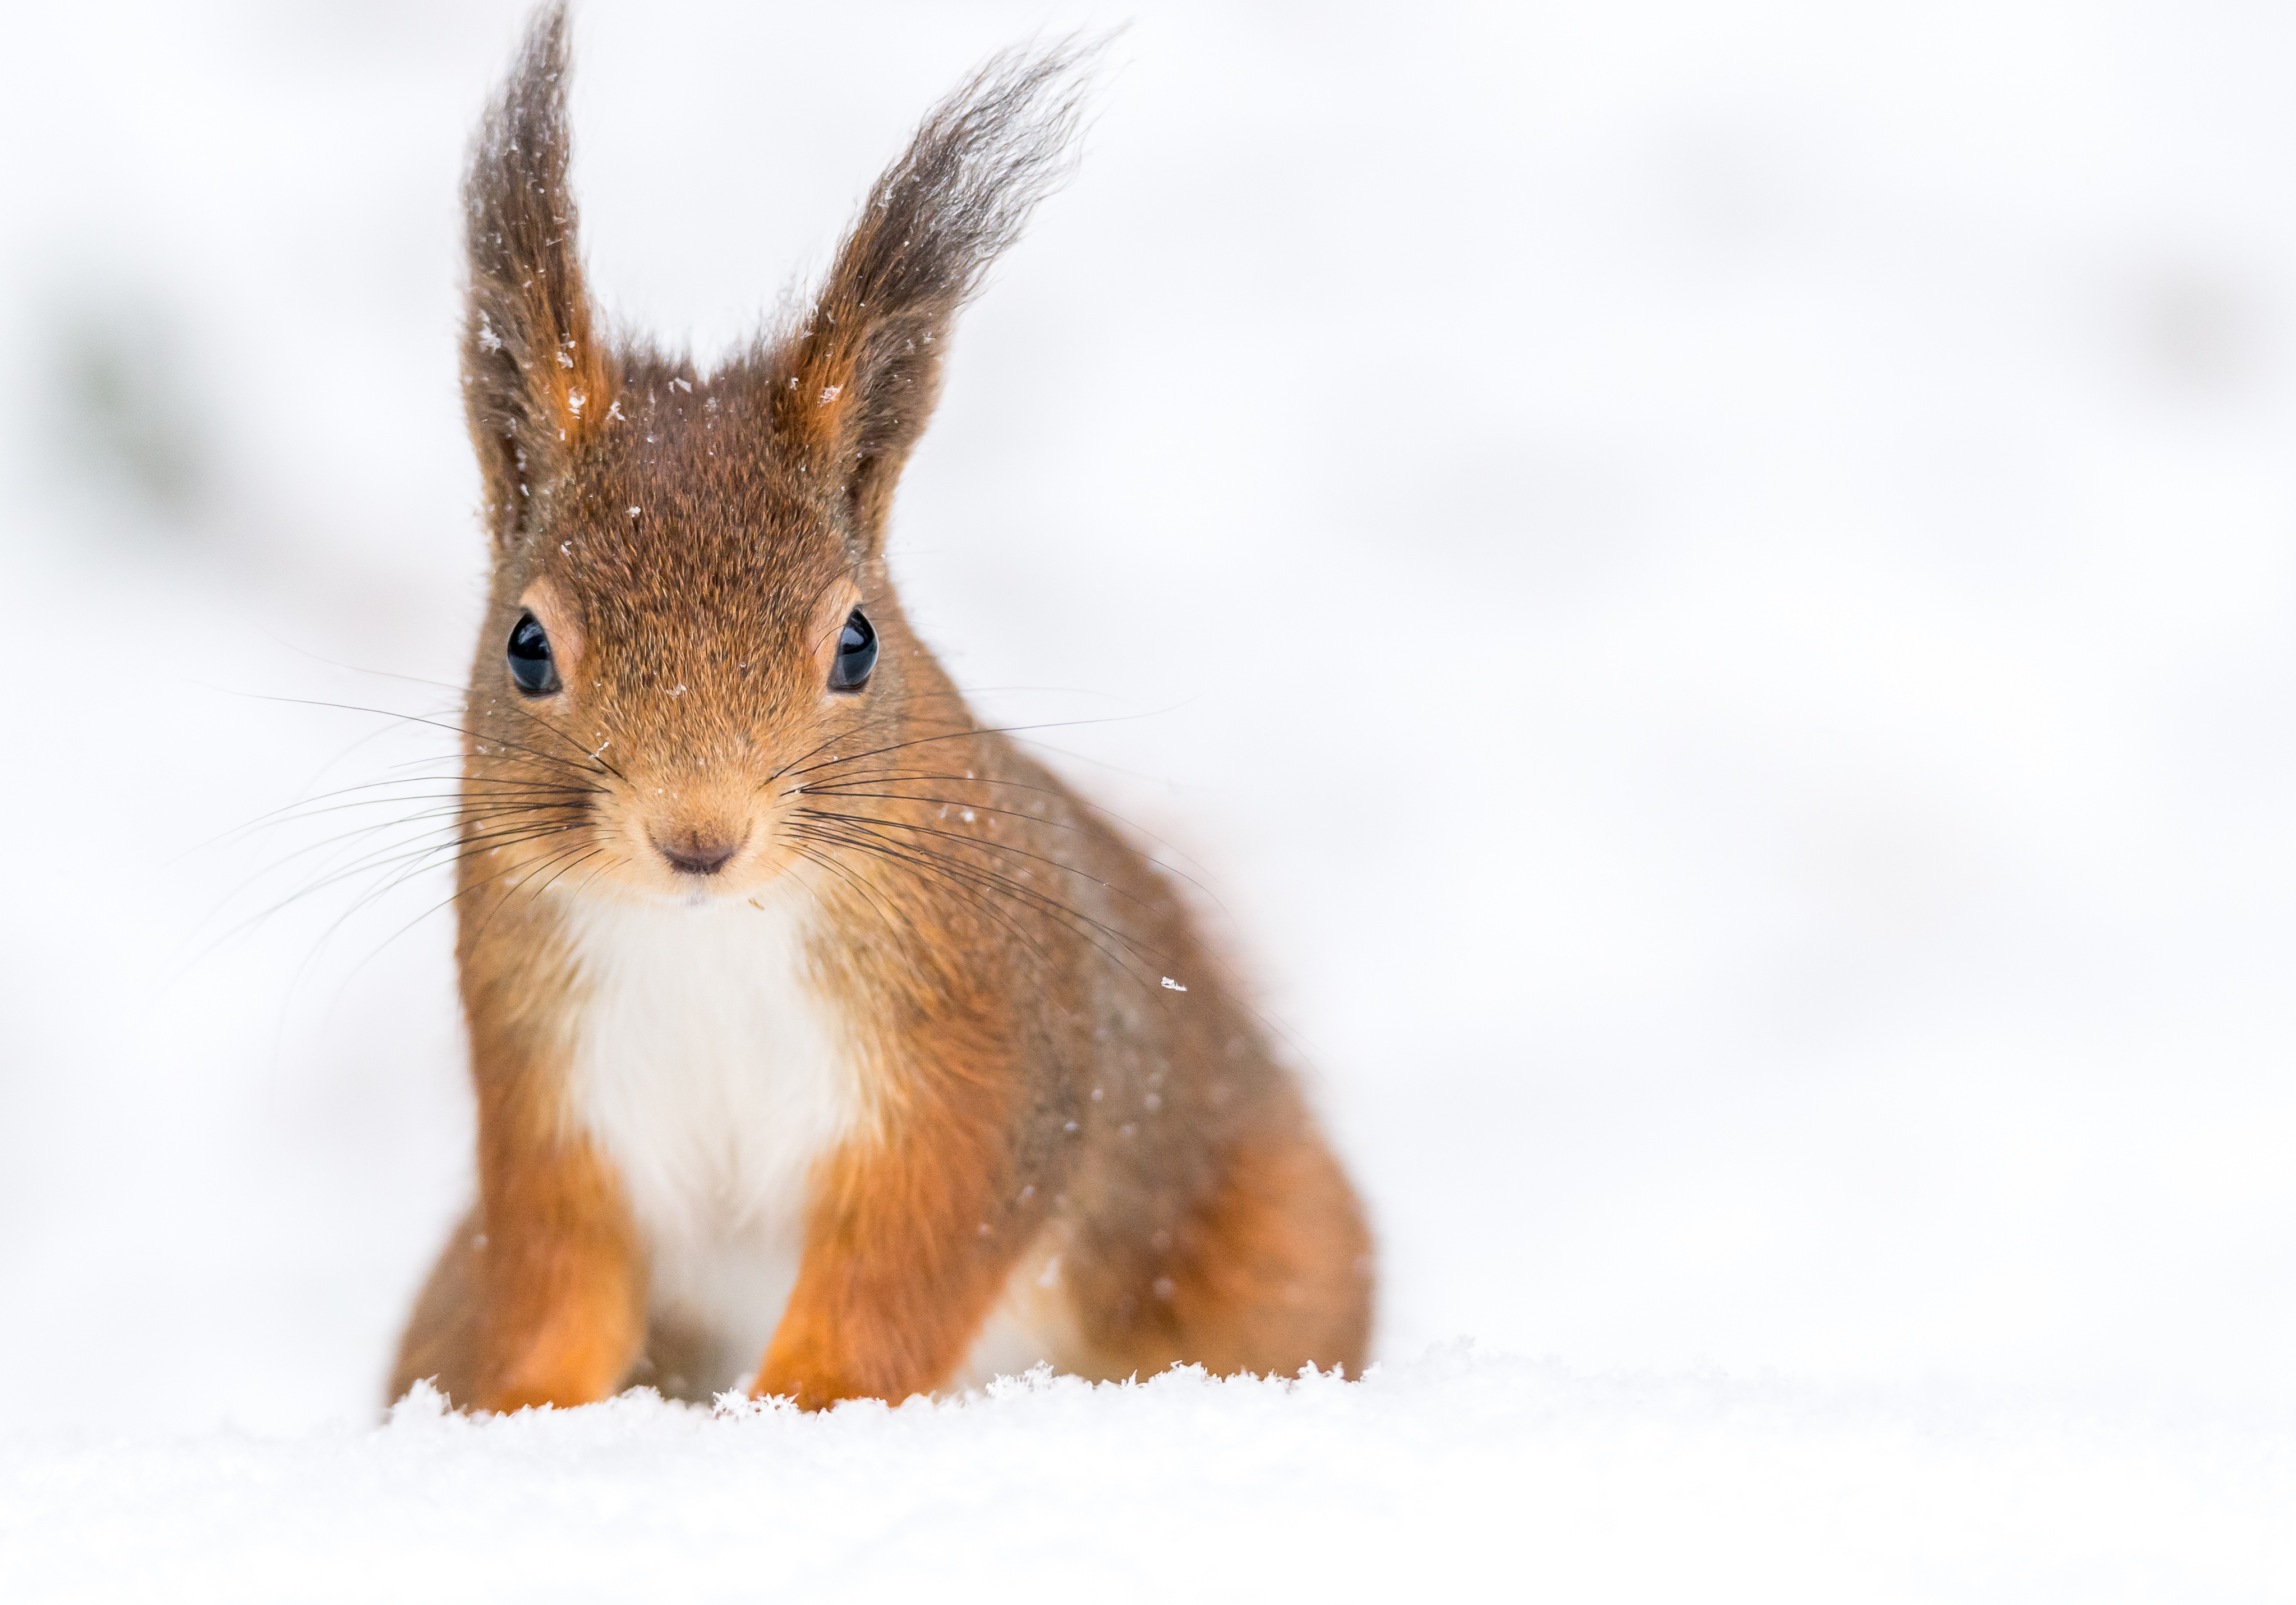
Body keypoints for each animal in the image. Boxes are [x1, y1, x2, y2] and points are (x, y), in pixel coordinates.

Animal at [385, 3, 1368, 1405]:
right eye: (527, 647)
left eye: (856, 643)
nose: (699, 836)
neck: (713, 936)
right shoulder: (547, 1097)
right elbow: (555, 1282)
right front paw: (522, 1413)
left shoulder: (978, 1061)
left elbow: (904, 1271)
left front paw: (796, 1404)